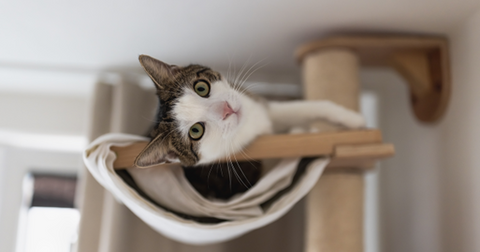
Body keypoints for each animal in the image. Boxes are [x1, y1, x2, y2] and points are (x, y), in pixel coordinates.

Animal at [133, 55, 366, 169]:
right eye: (196, 131)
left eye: (201, 88)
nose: (227, 109)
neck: (249, 124)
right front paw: (303, 131)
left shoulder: (257, 104)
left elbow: (306, 107)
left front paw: (352, 118)